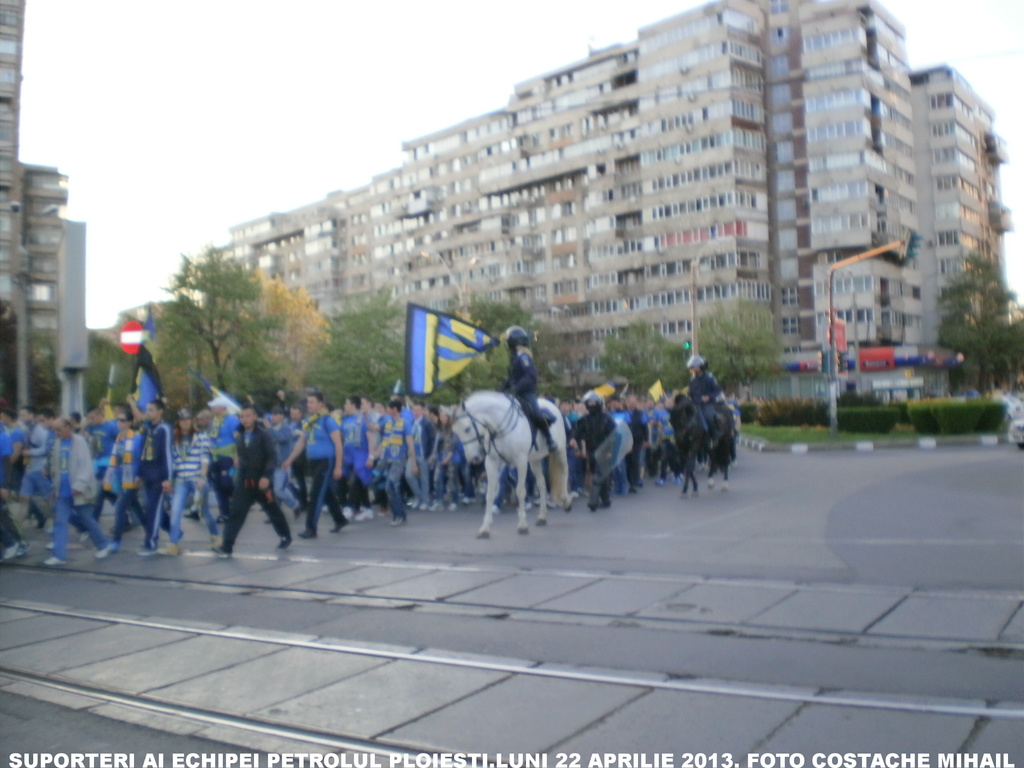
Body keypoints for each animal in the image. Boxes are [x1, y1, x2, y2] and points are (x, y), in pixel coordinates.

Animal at [452, 393, 573, 536]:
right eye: (456, 432)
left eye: (467, 429)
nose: (473, 458)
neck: (500, 426)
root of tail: (552, 405)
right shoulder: (491, 462)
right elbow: (490, 494)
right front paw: (485, 528)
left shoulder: (521, 461)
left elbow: (520, 491)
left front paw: (522, 525)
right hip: (534, 460)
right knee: (542, 484)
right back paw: (542, 516)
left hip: (560, 450)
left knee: (564, 472)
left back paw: (566, 501)